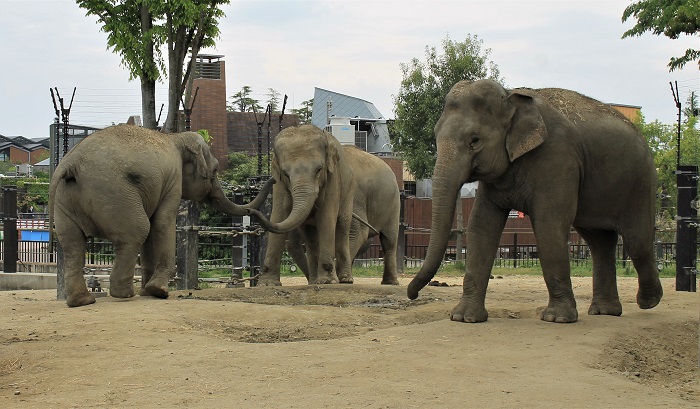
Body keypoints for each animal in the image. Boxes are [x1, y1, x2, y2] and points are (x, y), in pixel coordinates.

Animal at [48, 124, 274, 306]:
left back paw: (82, 301)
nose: (272, 179)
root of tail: (70, 163)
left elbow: (152, 230)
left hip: (65, 200)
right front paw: (159, 291)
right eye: (215, 171)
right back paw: (124, 294)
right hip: (112, 193)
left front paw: (147, 292)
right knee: (137, 230)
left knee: (73, 245)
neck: (177, 137)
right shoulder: (173, 180)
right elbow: (162, 223)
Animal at [250, 124, 356, 284]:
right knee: (310, 235)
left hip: (348, 191)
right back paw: (313, 281)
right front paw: (267, 284)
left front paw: (328, 281)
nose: (251, 211)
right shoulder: (279, 182)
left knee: (342, 226)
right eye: (285, 174)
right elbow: (279, 215)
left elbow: (326, 217)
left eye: (319, 170)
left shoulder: (333, 177)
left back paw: (345, 279)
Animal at [278, 146, 400, 284]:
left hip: (394, 204)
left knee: (389, 240)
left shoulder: (353, 196)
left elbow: (356, 233)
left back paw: (390, 283)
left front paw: (339, 278)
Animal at [404, 79, 660, 322]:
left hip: (640, 183)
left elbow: (548, 224)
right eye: (435, 135)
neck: (510, 95)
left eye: (474, 140)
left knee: (636, 241)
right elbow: (481, 226)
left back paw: (648, 302)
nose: (412, 294)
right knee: (600, 242)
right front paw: (464, 318)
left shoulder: (557, 157)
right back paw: (605, 311)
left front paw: (557, 318)